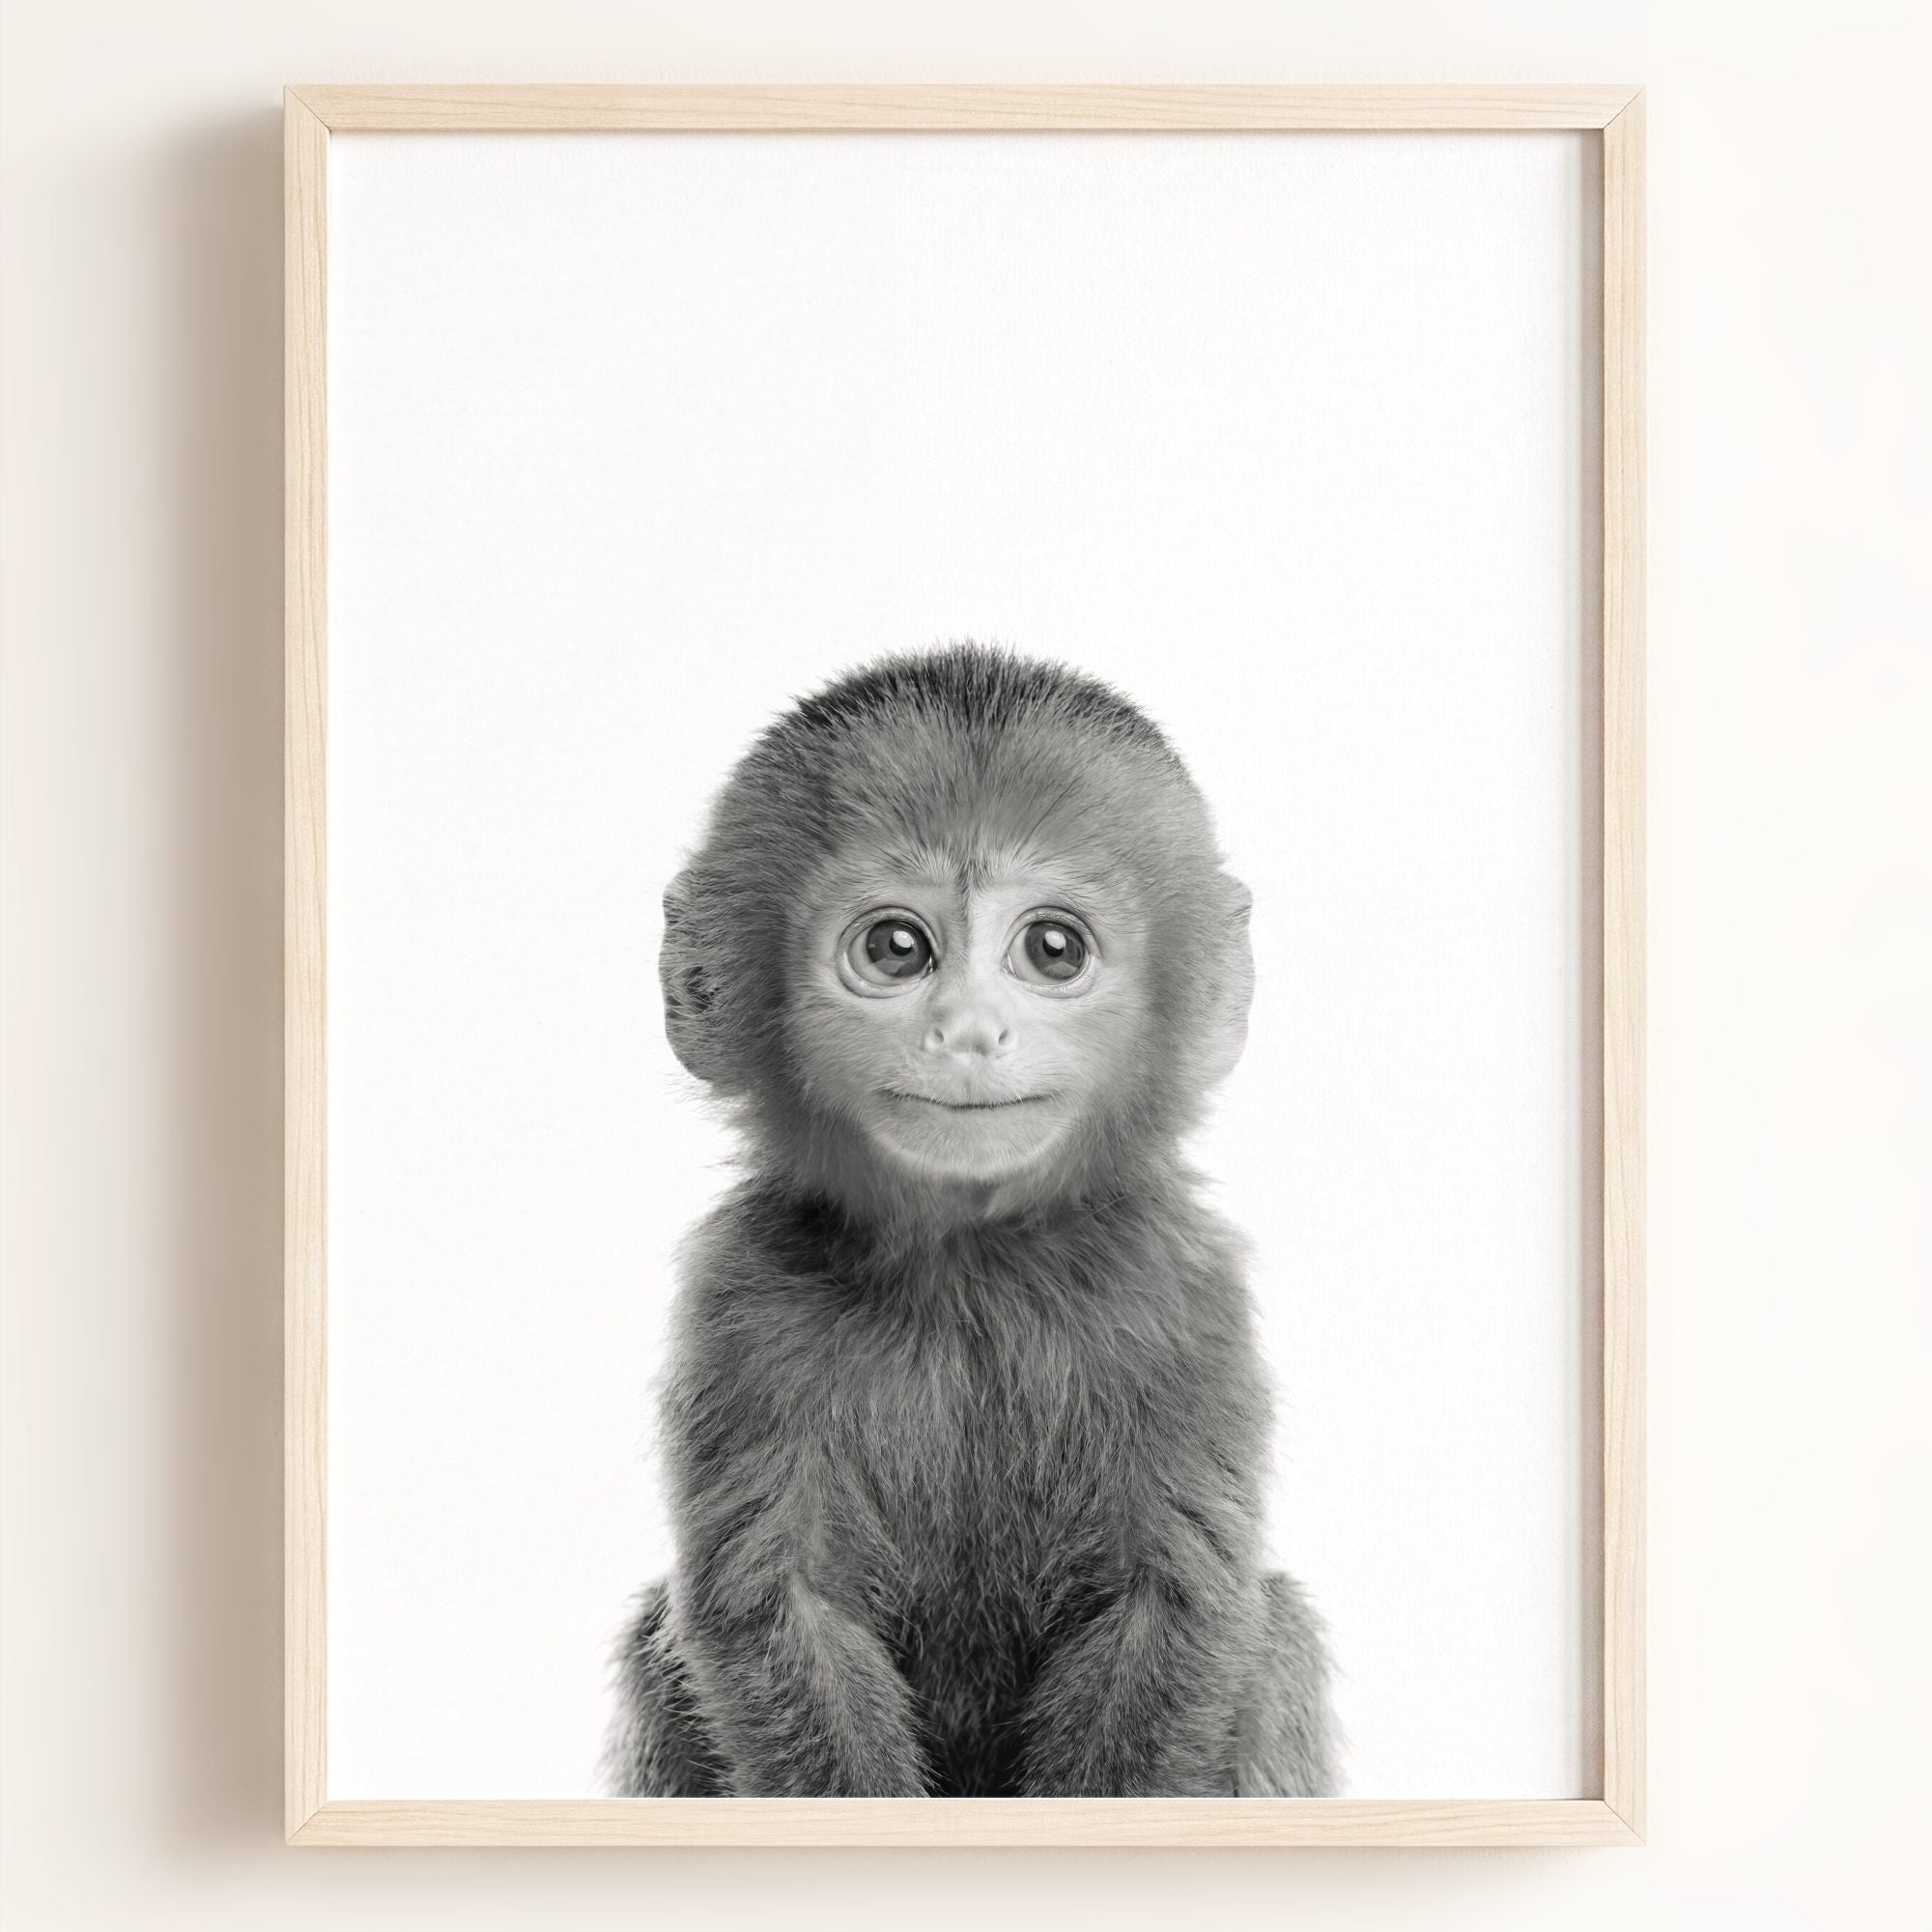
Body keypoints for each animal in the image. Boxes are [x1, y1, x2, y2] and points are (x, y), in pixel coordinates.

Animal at [604, 643, 1336, 1798]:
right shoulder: (739, 1295)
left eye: (1053, 948)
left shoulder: (1184, 1288)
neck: (972, 1268)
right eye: (898, 947)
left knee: (1279, 1634)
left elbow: (1170, 1605)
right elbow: (779, 1609)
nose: (969, 1031)